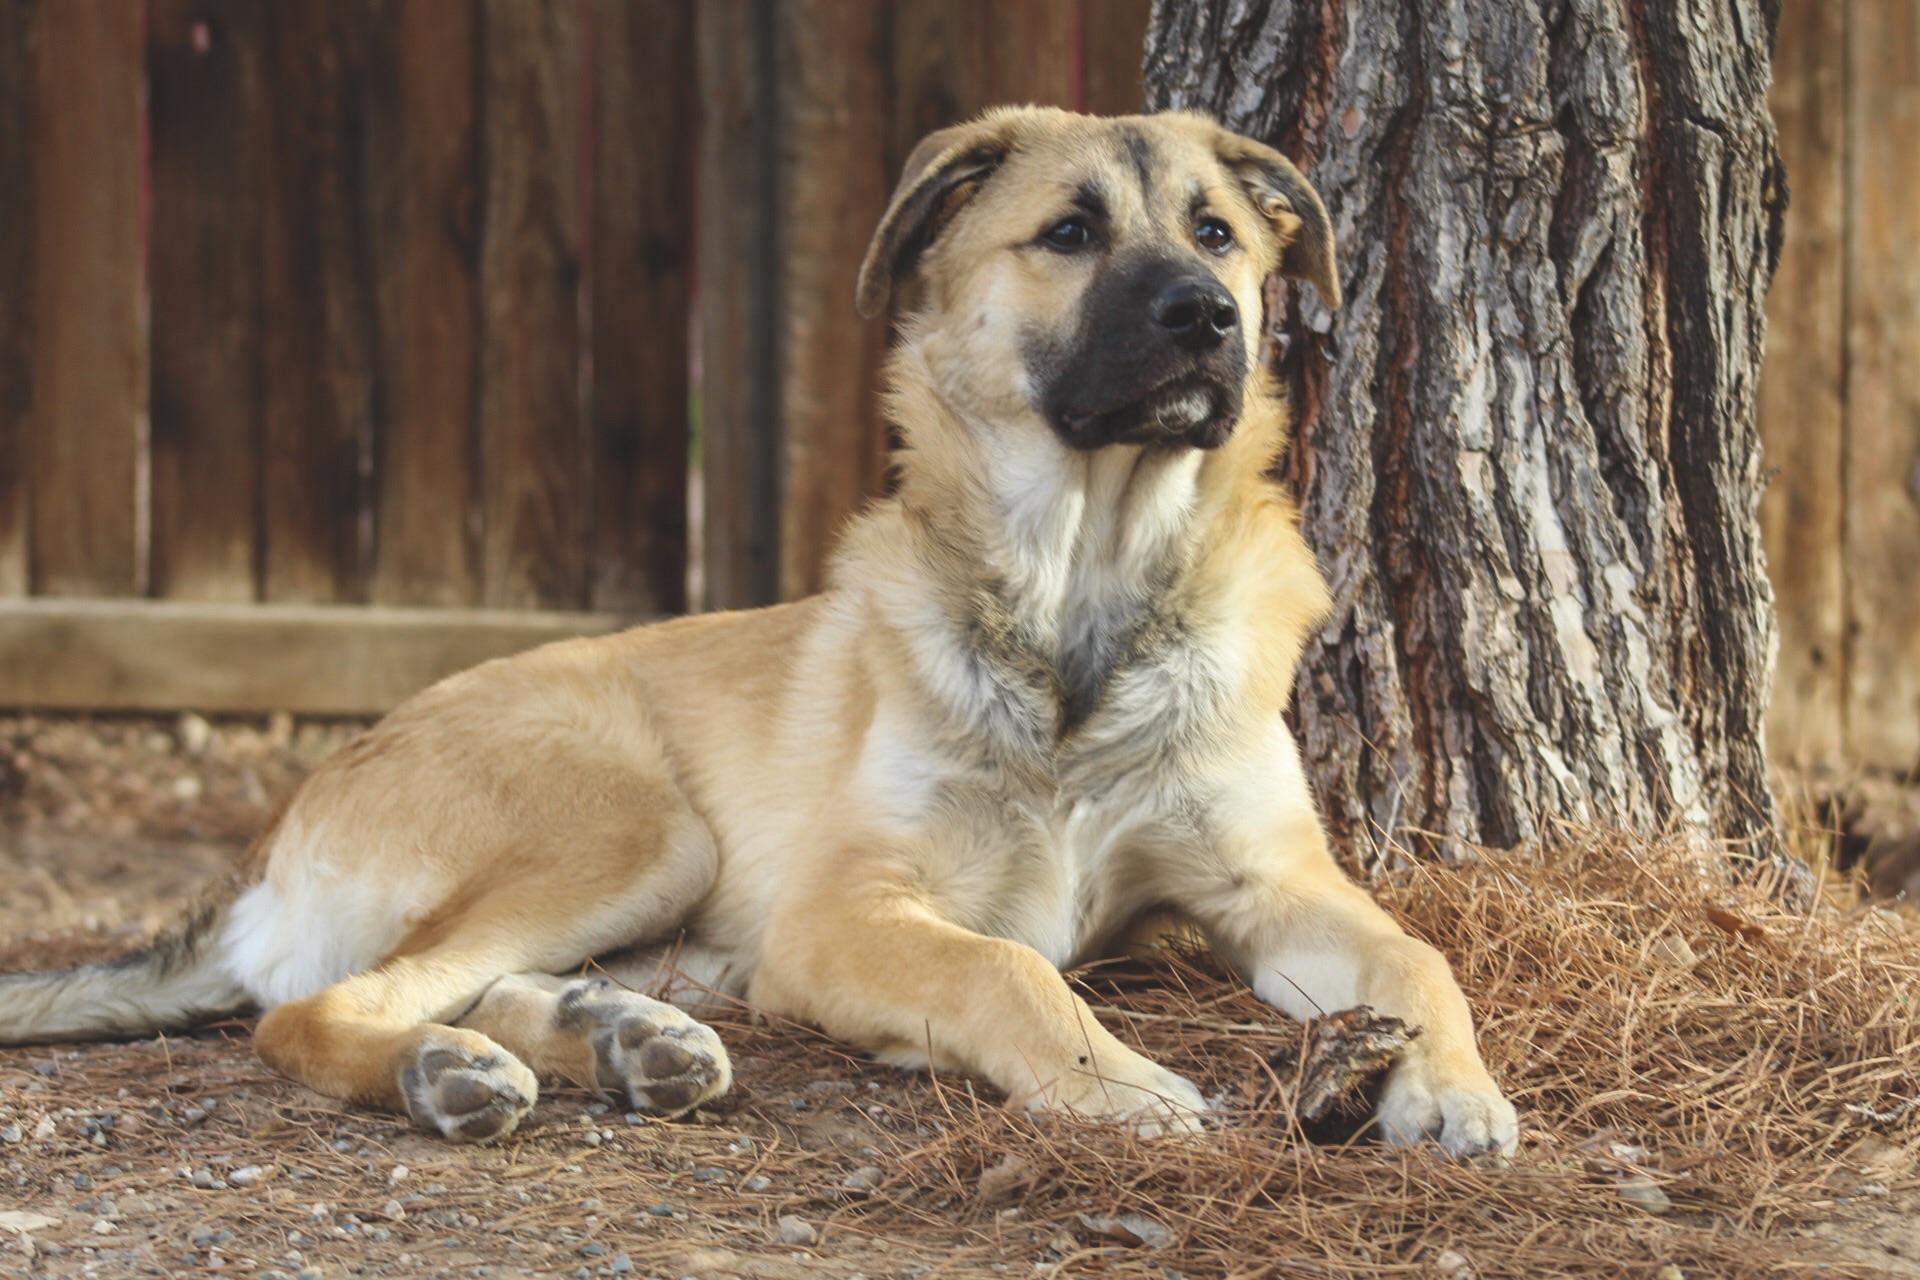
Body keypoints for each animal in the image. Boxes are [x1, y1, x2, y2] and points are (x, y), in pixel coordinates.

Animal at [7, 105, 1520, 1159]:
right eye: (1070, 234)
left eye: (1217, 236)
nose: (1207, 319)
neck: (1080, 603)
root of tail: (277, 838)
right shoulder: (841, 914)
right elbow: (1008, 964)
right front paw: (1117, 1079)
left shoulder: (1271, 884)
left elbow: (1418, 952)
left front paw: (1454, 1086)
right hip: (635, 826)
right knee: (317, 1011)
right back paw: (449, 1076)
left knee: (467, 986)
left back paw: (616, 1040)